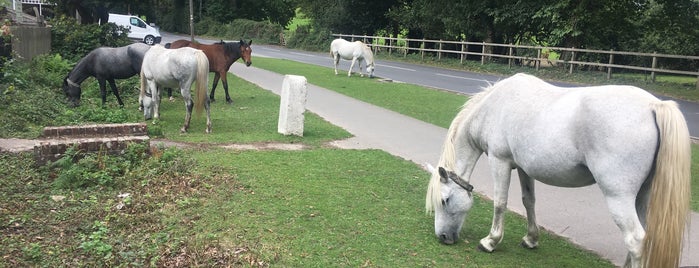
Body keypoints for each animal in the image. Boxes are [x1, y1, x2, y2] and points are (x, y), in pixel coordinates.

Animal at [424, 73, 692, 268]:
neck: (494, 107)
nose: (443, 237)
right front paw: (531, 239)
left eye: (445, 200)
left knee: (635, 240)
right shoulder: (523, 168)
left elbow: (500, 203)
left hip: (619, 196)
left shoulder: (500, 162)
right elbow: (528, 201)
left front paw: (490, 241)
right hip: (643, 194)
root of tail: (654, 105)